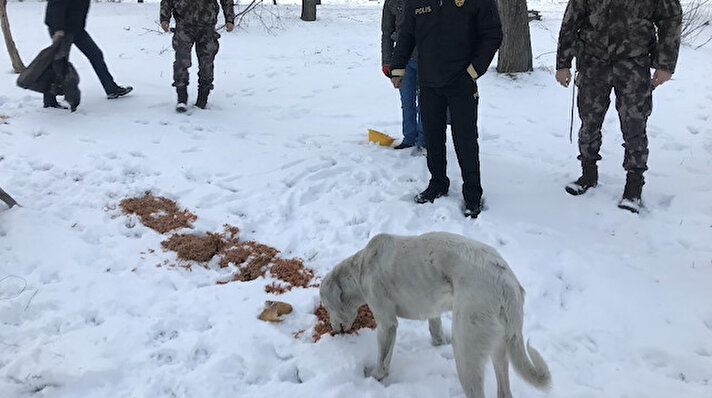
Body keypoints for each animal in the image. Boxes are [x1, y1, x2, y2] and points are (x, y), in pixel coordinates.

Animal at [322, 232, 552, 396]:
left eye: (325, 305)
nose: (333, 328)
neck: (361, 267)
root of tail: (507, 284)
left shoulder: (387, 324)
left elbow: (383, 360)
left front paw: (375, 376)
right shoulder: (432, 309)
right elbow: (436, 329)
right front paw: (438, 343)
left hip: (466, 352)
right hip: (499, 348)